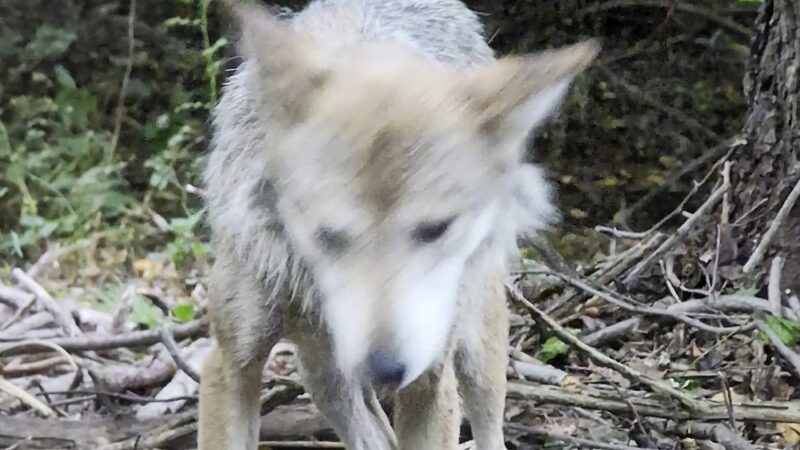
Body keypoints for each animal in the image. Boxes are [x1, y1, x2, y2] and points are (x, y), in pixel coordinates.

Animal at [197, 0, 598, 449]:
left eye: (436, 229)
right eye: (326, 234)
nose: (384, 368)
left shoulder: (430, 380)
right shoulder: (230, 366)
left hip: (476, 341)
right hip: (323, 372)